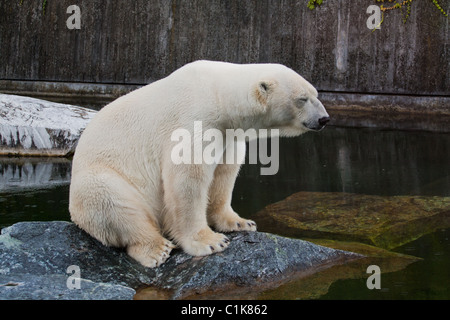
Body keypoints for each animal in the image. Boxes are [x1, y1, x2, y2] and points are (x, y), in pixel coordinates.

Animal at [70, 60, 330, 268]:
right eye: (302, 99)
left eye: (316, 94)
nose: (324, 119)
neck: (218, 95)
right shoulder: (194, 120)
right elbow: (187, 180)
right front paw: (210, 242)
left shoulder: (227, 134)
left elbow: (224, 174)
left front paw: (240, 222)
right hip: (97, 180)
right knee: (111, 200)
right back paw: (156, 249)